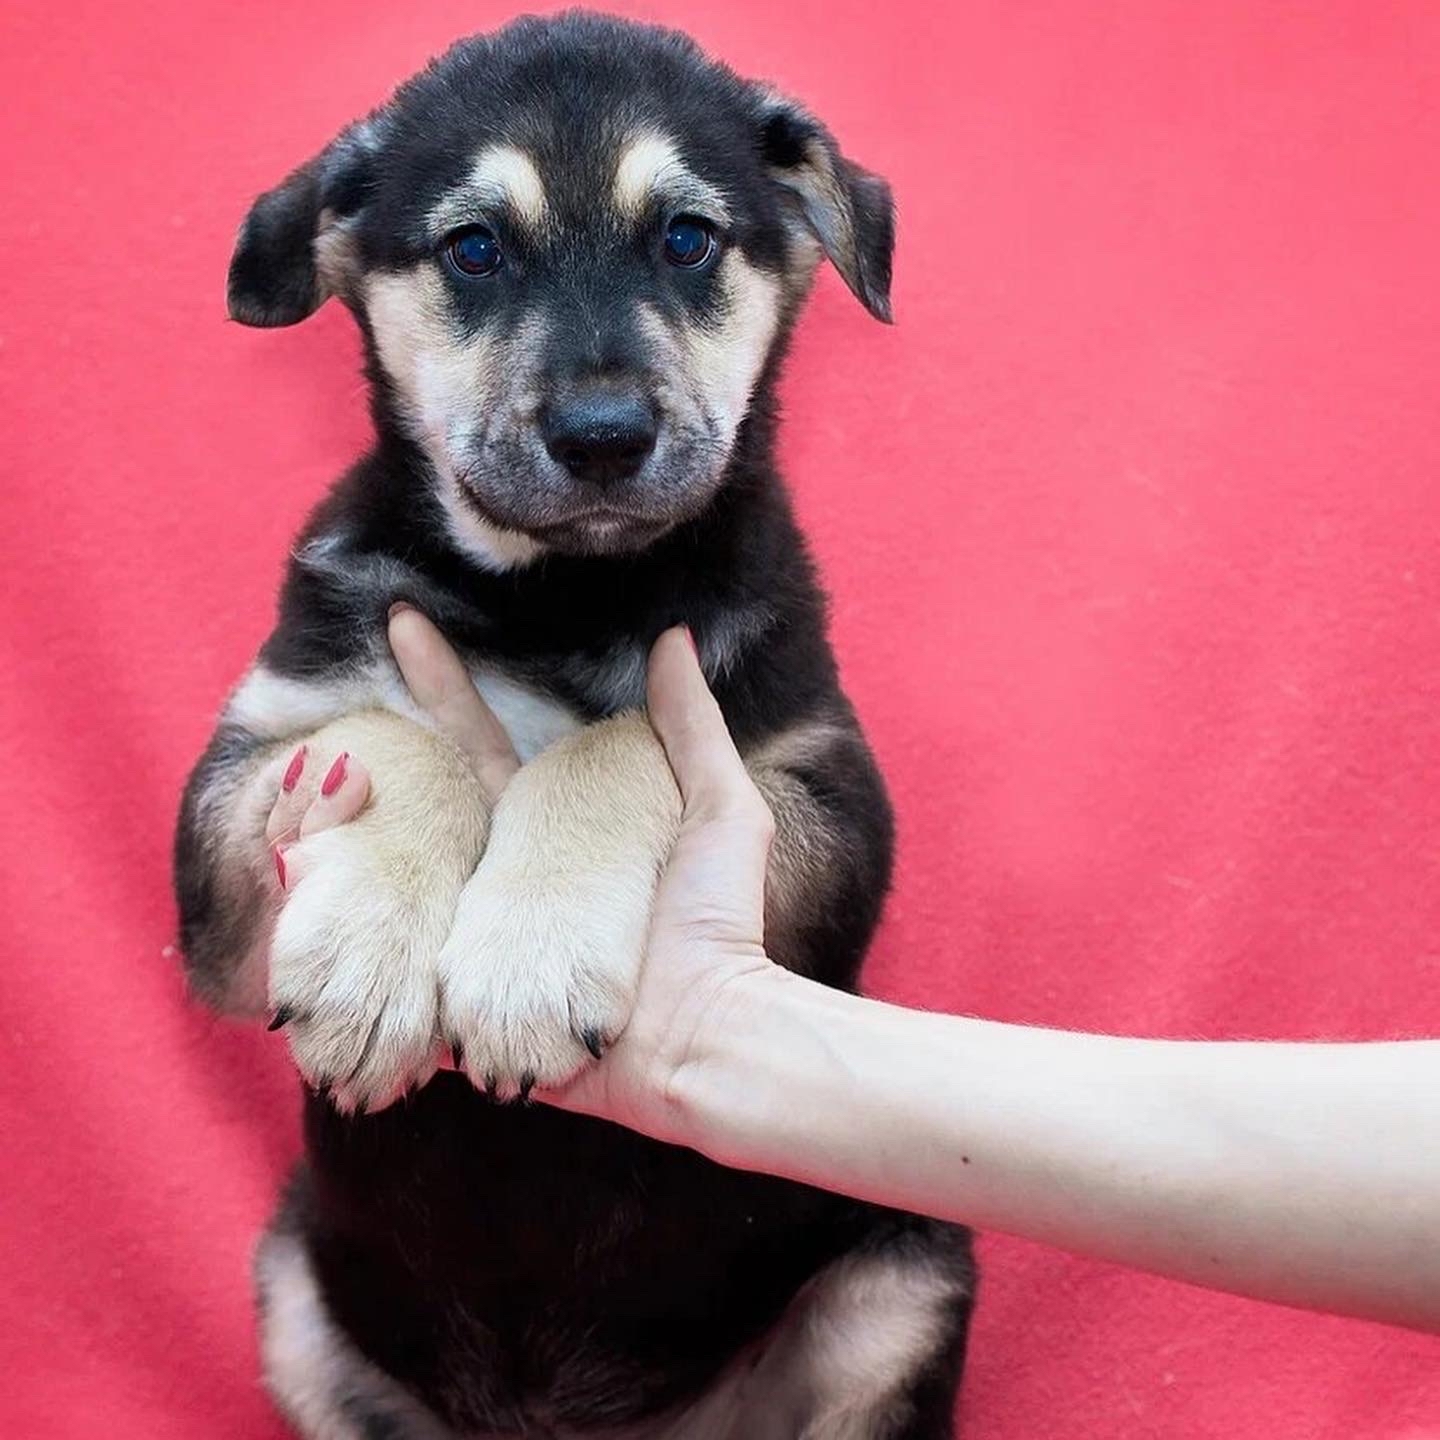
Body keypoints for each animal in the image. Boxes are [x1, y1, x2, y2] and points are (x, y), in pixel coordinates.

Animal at [174, 14, 973, 1440]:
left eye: (689, 239)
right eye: (475, 249)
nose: (603, 437)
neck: (557, 591)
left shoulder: (829, 814)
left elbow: (628, 731)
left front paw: (529, 955)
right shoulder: (234, 830)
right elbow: (395, 738)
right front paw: (369, 957)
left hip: (907, 1268)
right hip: (291, 1291)